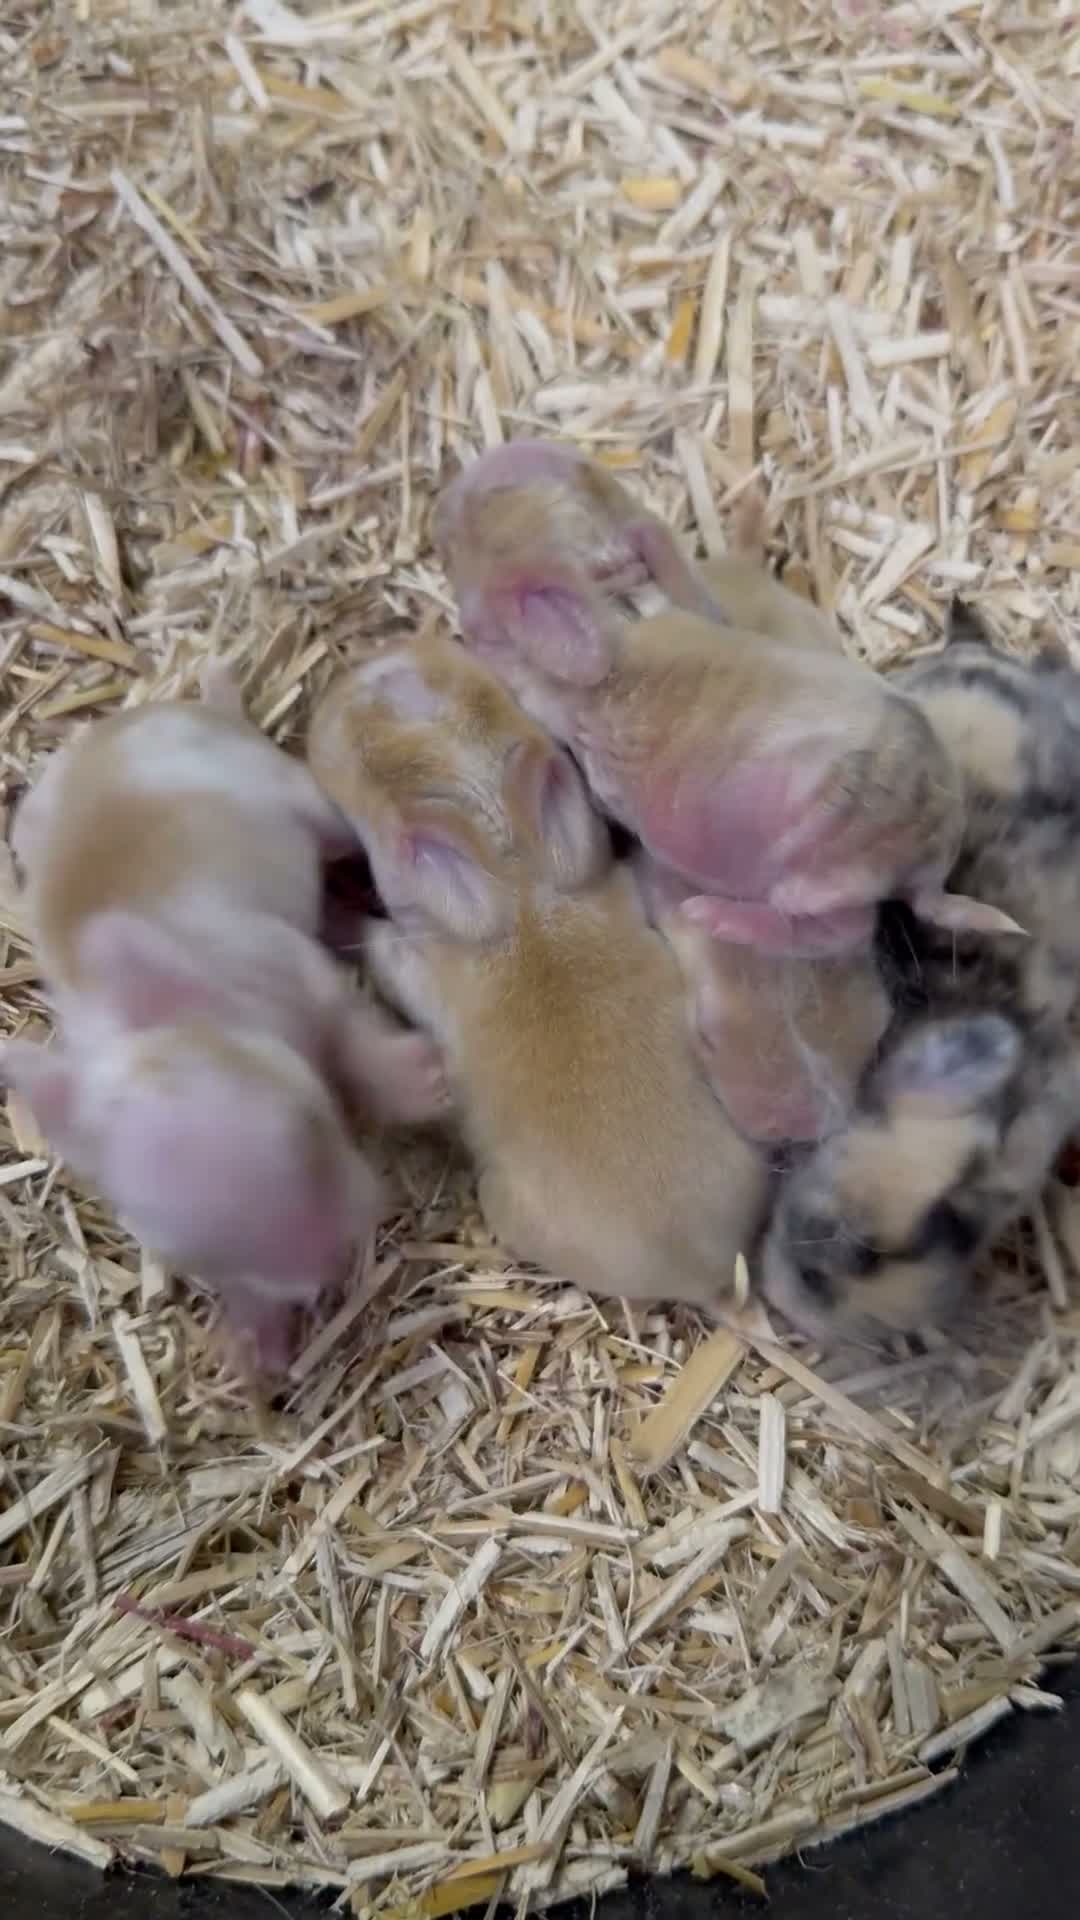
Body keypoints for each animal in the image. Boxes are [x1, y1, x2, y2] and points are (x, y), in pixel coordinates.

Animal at [4, 664, 449, 1375]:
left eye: (311, 1125)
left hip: (289, 790)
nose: (326, 1264)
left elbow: (351, 1036)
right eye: (193, 1258)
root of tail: (127, 722)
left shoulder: (302, 977)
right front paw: (251, 1343)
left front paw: (422, 1084)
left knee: (332, 830)